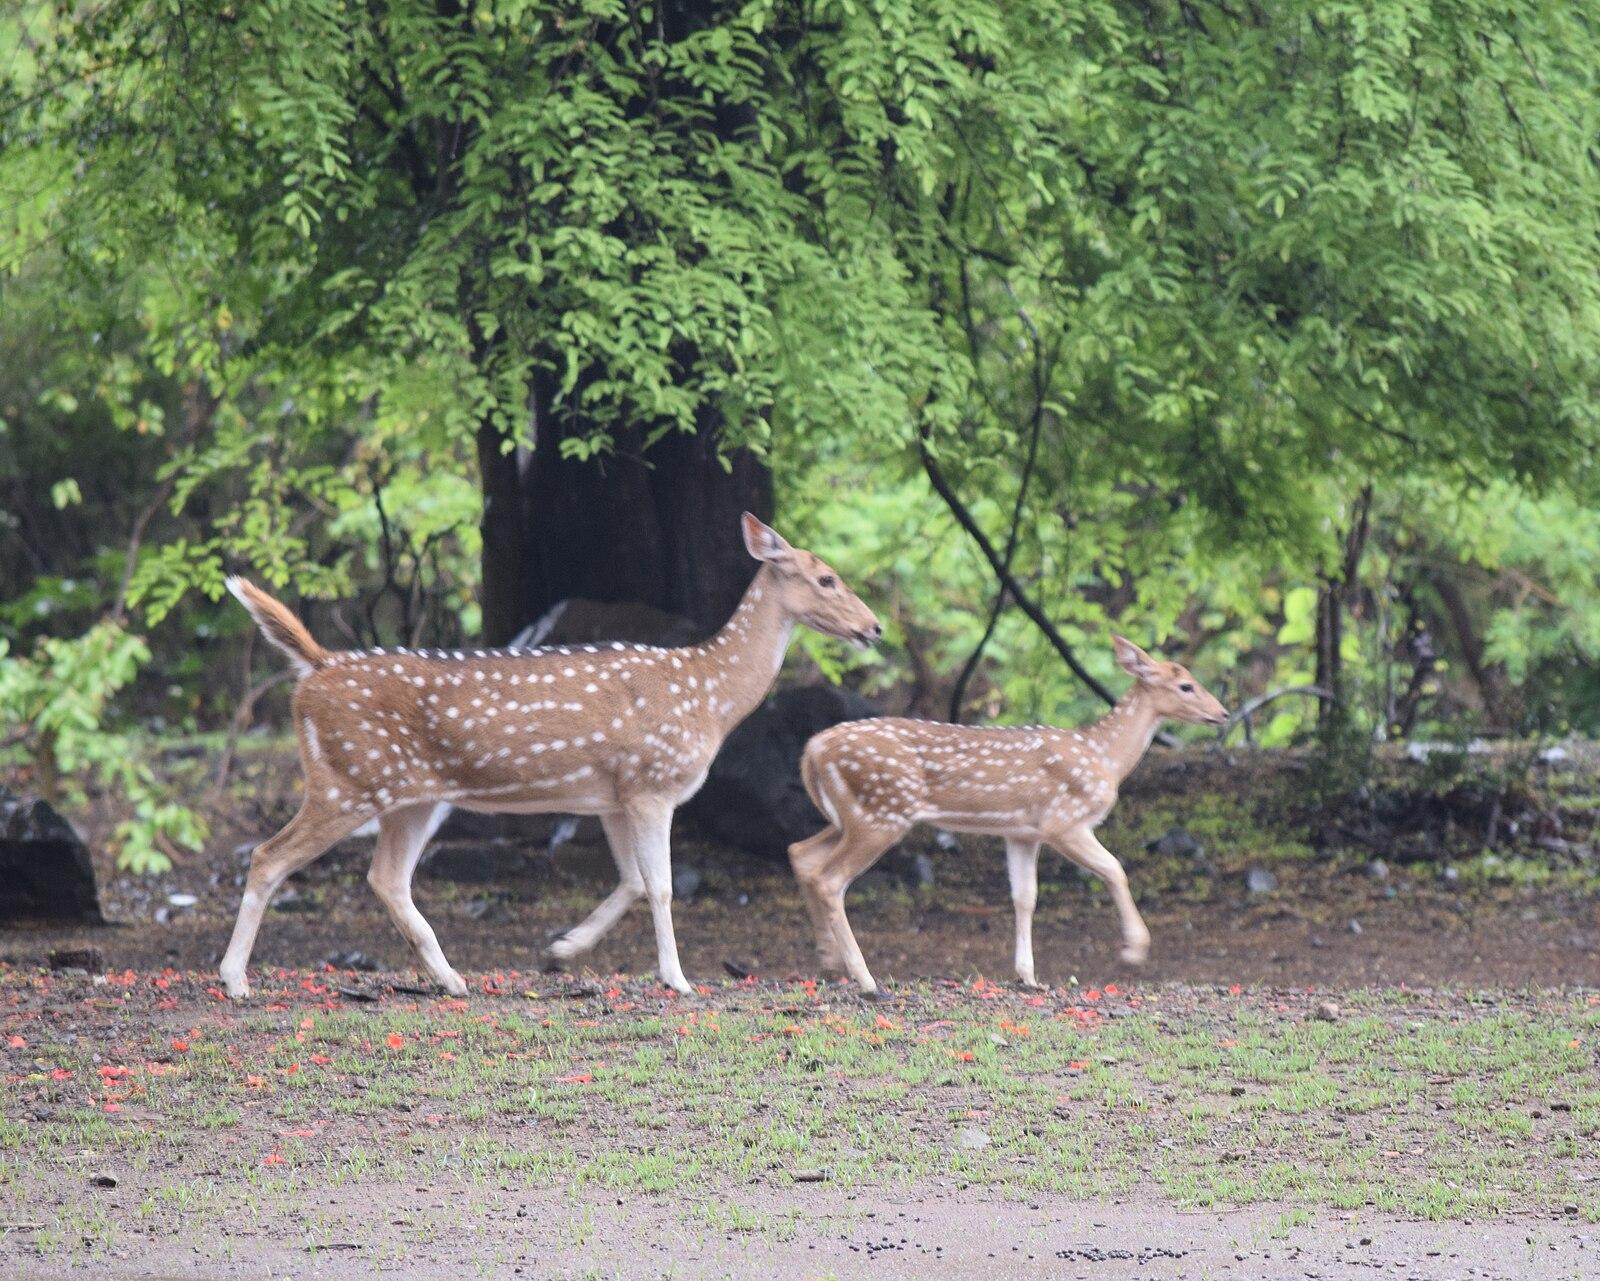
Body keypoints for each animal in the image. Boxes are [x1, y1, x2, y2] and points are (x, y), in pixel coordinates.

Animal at [217, 513, 881, 1000]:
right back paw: (235, 981)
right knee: (269, 857)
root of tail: (316, 667)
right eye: (826, 578)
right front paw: (678, 979)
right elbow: (663, 887)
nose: (874, 627)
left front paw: (561, 950)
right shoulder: (653, 783)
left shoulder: (613, 794)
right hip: (345, 781)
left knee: (386, 877)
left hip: (412, 797)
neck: (710, 697)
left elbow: (632, 881)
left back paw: (452, 980)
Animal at [788, 636, 1227, 996]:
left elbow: (1024, 897)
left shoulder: (1022, 832)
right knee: (830, 879)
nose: (1223, 714)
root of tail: (813, 748)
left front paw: (1028, 976)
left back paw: (828, 960)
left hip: (851, 815)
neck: (1105, 757)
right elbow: (1115, 869)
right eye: (1186, 685)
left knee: (801, 853)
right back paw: (866, 979)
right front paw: (1134, 950)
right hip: (882, 811)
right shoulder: (1063, 820)